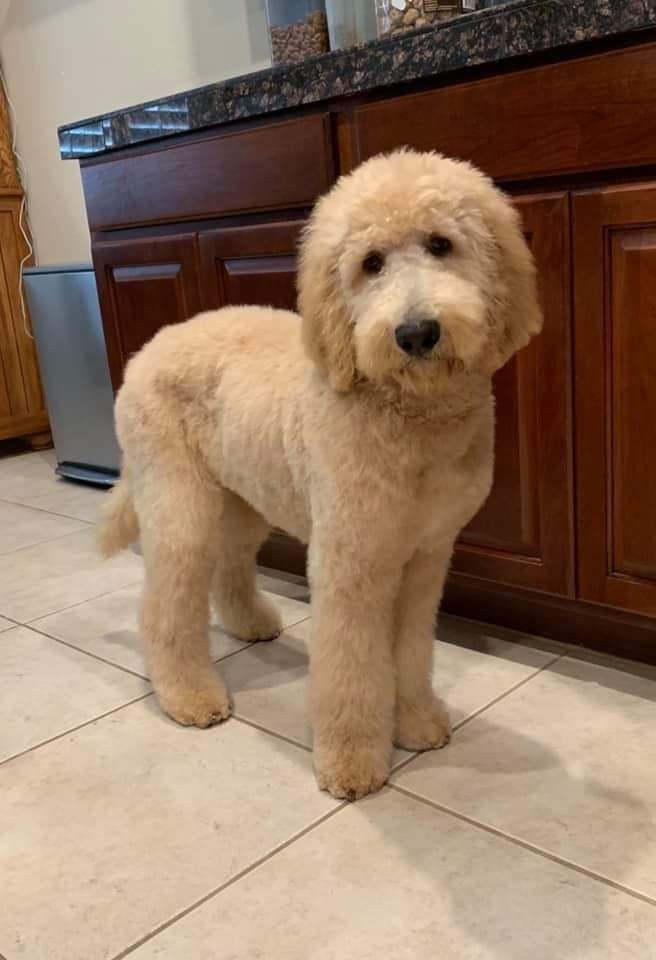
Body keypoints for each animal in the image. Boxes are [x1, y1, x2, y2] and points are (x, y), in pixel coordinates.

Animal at [101, 150, 544, 804]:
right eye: (371, 263)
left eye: (441, 243)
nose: (416, 333)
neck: (409, 415)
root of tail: (152, 345)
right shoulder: (352, 559)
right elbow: (351, 667)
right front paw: (353, 762)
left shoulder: (425, 555)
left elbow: (411, 650)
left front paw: (416, 723)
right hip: (182, 504)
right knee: (165, 606)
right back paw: (188, 695)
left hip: (244, 497)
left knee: (230, 567)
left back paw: (252, 625)